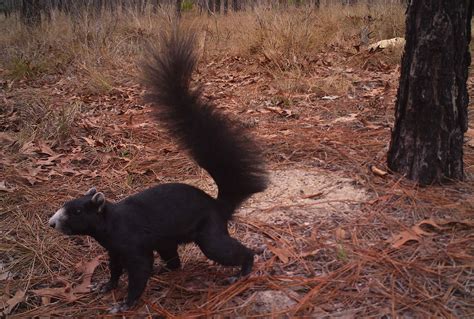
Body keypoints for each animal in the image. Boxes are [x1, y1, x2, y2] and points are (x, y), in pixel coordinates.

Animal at [49, 28, 268, 314]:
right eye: (65, 206)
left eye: (76, 212)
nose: (52, 222)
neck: (111, 223)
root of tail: (218, 206)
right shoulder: (114, 251)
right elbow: (115, 270)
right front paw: (107, 286)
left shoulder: (133, 246)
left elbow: (139, 272)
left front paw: (124, 304)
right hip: (167, 242)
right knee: (174, 262)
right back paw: (166, 271)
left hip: (209, 235)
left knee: (230, 251)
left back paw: (242, 271)